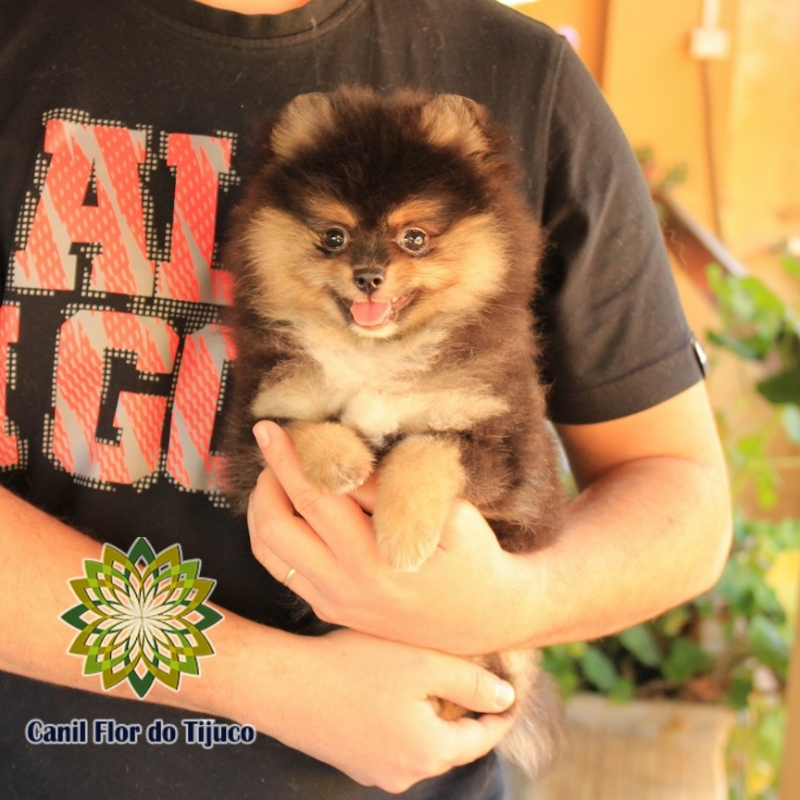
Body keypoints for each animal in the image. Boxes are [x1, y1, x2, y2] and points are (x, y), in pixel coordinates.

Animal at [222, 87, 564, 776]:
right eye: (333, 236)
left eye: (415, 237)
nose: (369, 276)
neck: (377, 355)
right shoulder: (258, 418)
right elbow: (297, 425)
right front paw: (343, 462)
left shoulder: (509, 454)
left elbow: (427, 445)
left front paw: (403, 536)